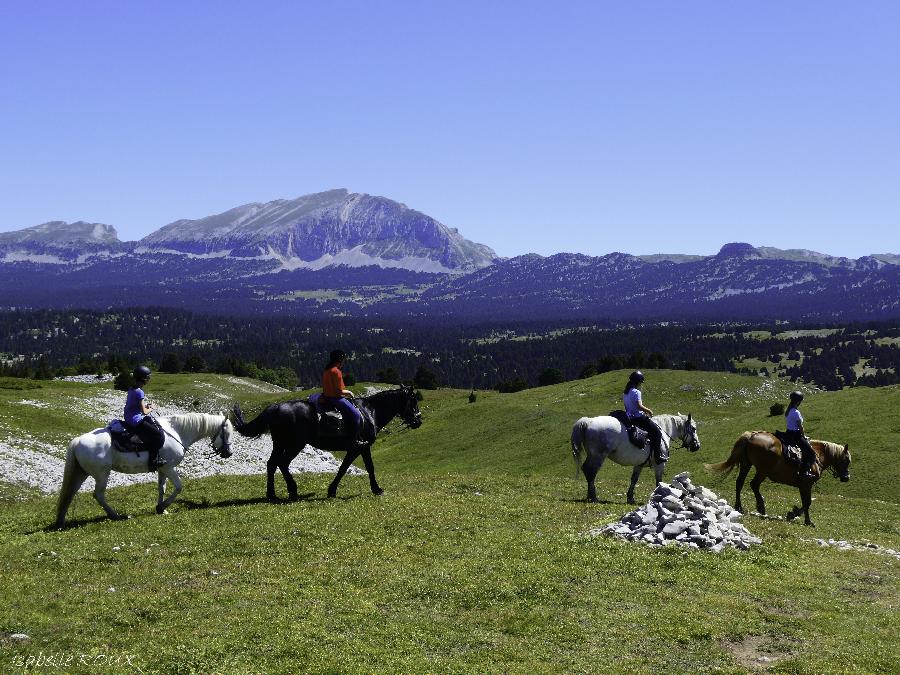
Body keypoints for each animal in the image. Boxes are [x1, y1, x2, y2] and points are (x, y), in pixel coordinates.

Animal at [54, 412, 234, 528]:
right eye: (226, 432)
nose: (228, 453)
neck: (176, 432)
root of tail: (78, 440)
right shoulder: (169, 467)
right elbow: (178, 487)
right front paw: (162, 507)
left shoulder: (162, 469)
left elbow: (162, 488)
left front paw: (161, 508)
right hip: (101, 474)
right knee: (98, 495)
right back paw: (116, 515)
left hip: (81, 473)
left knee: (70, 493)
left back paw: (61, 521)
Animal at [232, 386, 422, 502]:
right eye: (413, 401)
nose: (418, 421)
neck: (369, 412)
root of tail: (276, 407)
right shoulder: (360, 446)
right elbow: (354, 467)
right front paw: (375, 489)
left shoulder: (359, 448)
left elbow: (352, 467)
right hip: (295, 444)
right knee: (282, 463)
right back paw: (293, 491)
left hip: (279, 443)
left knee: (272, 464)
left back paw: (272, 495)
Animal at [568, 414, 704, 504]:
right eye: (693, 429)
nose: (697, 446)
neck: (664, 430)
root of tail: (588, 422)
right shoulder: (659, 465)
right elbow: (658, 481)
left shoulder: (639, 464)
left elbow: (634, 480)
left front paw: (630, 498)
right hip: (598, 456)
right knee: (591, 472)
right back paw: (594, 497)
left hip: (592, 455)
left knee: (586, 470)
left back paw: (589, 496)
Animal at [708, 434, 848, 528]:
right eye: (846, 460)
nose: (846, 478)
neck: (817, 456)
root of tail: (752, 436)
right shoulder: (806, 484)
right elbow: (807, 503)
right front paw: (803, 519)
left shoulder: (803, 486)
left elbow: (806, 503)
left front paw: (794, 514)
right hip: (763, 470)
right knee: (753, 484)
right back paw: (759, 507)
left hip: (746, 464)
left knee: (741, 483)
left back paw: (742, 507)